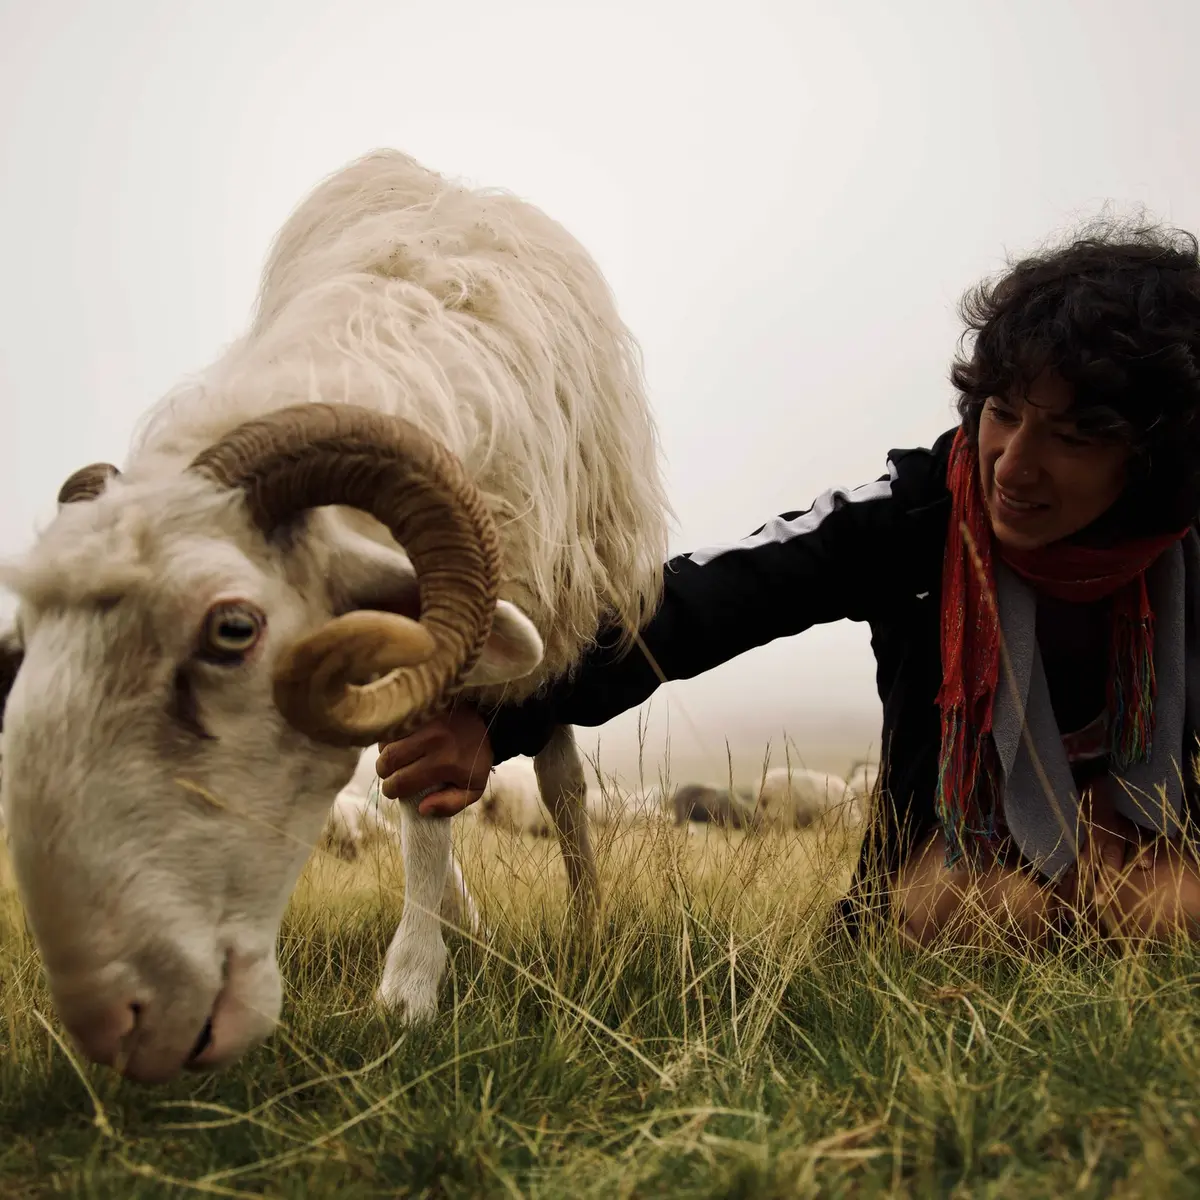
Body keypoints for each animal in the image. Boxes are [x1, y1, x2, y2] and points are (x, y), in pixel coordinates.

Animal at [0, 145, 672, 1084]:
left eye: (233, 630)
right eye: (28, 642)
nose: (117, 1022)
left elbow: (451, 800)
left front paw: (410, 988)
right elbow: (417, 797)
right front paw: (434, 956)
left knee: (562, 787)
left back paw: (581, 917)